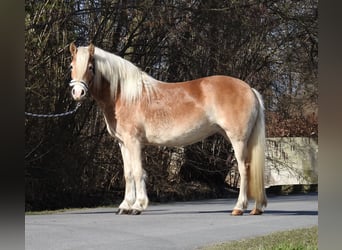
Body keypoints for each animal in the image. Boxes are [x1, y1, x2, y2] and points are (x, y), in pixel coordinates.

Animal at [69, 42, 268, 215]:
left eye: (90, 67)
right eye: (71, 66)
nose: (78, 93)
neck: (124, 96)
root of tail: (249, 89)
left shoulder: (134, 142)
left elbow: (138, 172)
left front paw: (138, 206)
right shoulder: (123, 143)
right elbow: (128, 174)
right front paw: (125, 206)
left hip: (238, 139)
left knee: (244, 168)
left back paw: (239, 207)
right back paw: (256, 208)